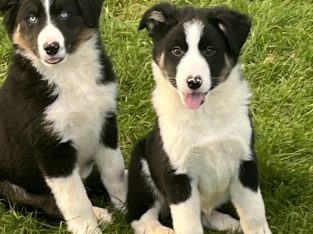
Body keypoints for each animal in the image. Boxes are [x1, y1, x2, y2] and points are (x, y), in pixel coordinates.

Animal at [0, 0, 127, 234]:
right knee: (49, 204)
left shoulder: (106, 123)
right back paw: (99, 214)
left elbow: (114, 170)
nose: (51, 48)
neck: (69, 73)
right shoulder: (52, 147)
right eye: (31, 18)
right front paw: (88, 228)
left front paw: (127, 204)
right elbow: (75, 199)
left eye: (64, 14)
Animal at [127, 3, 270, 234]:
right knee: (140, 218)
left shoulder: (245, 162)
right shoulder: (178, 175)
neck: (204, 114)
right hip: (141, 165)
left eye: (210, 51)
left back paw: (226, 221)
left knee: (205, 213)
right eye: (176, 51)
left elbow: (254, 213)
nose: (193, 82)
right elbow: (188, 225)